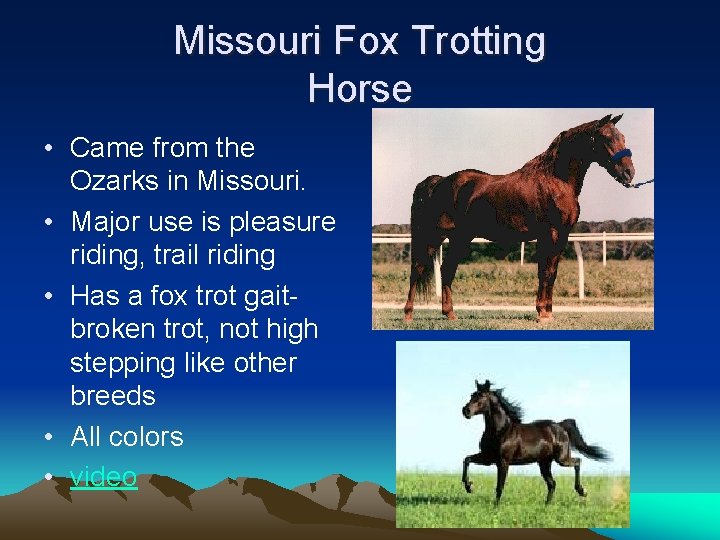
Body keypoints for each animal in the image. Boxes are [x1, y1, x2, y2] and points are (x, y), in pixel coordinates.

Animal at [403, 114, 635, 322]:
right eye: (607, 138)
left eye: (623, 137)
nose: (628, 173)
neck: (555, 181)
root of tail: (438, 181)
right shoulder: (551, 234)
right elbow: (546, 272)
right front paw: (543, 314)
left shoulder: (560, 236)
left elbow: (550, 272)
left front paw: (546, 311)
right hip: (434, 236)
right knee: (418, 269)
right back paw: (408, 315)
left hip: (460, 238)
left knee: (447, 270)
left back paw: (450, 314)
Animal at [461, 379, 609, 505]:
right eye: (472, 394)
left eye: (481, 396)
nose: (465, 410)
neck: (500, 431)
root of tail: (560, 426)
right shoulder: (488, 458)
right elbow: (467, 460)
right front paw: (469, 487)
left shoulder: (503, 462)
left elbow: (499, 486)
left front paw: (495, 507)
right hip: (544, 463)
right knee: (552, 483)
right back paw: (547, 505)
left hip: (561, 459)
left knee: (577, 461)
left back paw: (582, 491)